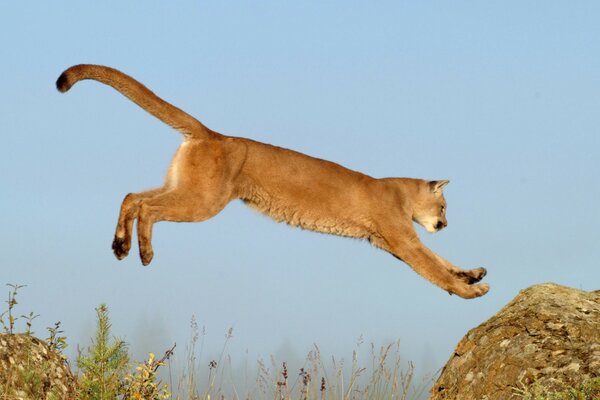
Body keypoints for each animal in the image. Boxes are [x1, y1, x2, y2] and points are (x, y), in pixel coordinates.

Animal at [55, 64, 488, 298]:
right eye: (444, 206)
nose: (444, 224)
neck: (400, 191)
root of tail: (213, 134)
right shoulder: (401, 240)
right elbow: (433, 268)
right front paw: (471, 291)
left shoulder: (392, 241)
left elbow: (441, 261)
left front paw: (472, 273)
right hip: (203, 201)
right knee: (147, 206)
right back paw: (143, 252)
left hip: (185, 187)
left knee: (131, 195)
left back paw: (120, 246)